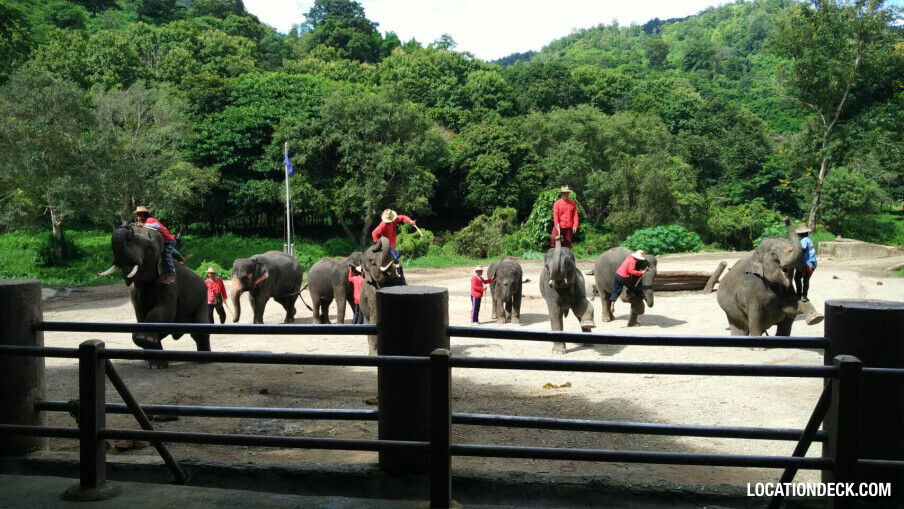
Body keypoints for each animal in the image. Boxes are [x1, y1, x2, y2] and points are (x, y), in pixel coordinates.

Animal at [98, 225, 210, 369]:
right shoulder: (134, 292)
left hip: (202, 299)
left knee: (200, 330)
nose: (127, 227)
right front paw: (155, 364)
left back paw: (204, 360)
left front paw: (144, 338)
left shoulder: (170, 283)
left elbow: (165, 311)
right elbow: (142, 317)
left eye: (148, 247)